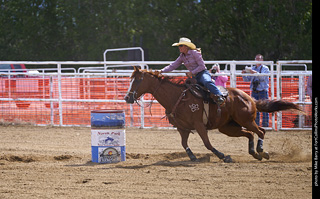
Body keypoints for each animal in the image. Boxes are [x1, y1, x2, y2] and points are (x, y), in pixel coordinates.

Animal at [124, 66, 304, 162]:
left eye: (138, 80)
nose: (127, 97)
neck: (177, 97)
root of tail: (249, 97)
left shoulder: (199, 125)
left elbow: (207, 144)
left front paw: (223, 156)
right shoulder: (182, 128)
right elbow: (184, 144)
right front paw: (192, 157)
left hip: (246, 120)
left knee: (261, 131)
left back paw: (261, 151)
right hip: (228, 127)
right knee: (249, 134)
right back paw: (255, 153)